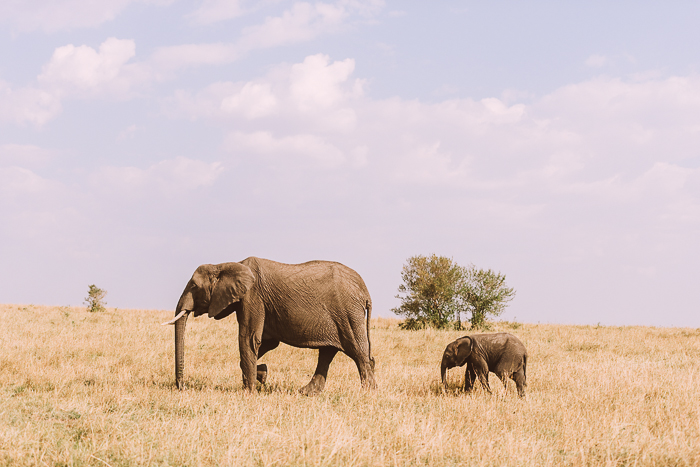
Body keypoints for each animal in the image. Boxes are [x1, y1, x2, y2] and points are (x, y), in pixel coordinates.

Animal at [163, 258, 378, 396]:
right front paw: (262, 375)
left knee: (358, 352)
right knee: (328, 352)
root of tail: (365, 291)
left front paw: (248, 392)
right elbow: (267, 342)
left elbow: (249, 338)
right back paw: (306, 393)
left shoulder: (252, 297)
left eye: (194, 287)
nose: (182, 387)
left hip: (348, 314)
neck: (226, 264)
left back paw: (368, 393)